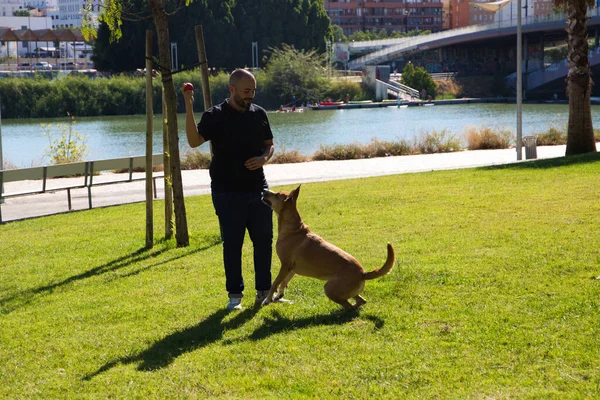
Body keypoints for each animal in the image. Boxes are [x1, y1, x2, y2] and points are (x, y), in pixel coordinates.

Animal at [262, 186, 394, 310]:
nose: (264, 190)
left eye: (277, 194)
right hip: (346, 291)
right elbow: (283, 282)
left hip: (329, 288)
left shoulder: (285, 265)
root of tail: (363, 273)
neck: (293, 229)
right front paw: (278, 295)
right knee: (361, 301)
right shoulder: (291, 268)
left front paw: (267, 299)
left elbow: (275, 283)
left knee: (349, 307)